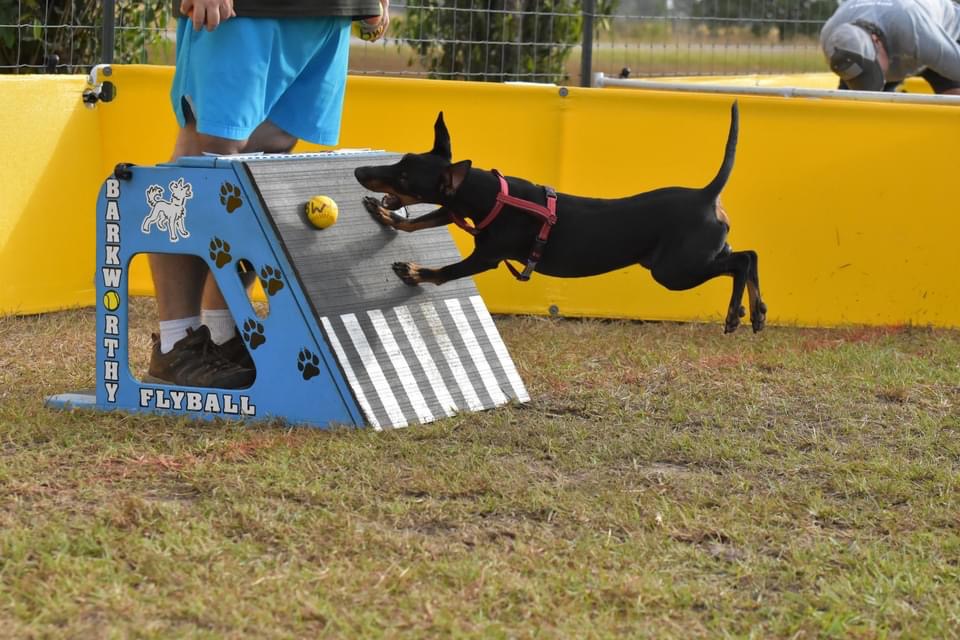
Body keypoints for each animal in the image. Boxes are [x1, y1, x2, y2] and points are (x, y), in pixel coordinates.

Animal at [352, 102, 764, 332]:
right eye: (401, 161)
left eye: (405, 178)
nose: (358, 171)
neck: (496, 197)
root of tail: (706, 195)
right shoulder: (457, 212)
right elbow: (416, 221)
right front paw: (384, 213)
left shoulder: (487, 256)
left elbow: (446, 272)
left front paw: (414, 272)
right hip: (688, 261)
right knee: (747, 256)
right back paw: (755, 311)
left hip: (674, 271)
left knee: (742, 261)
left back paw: (736, 314)